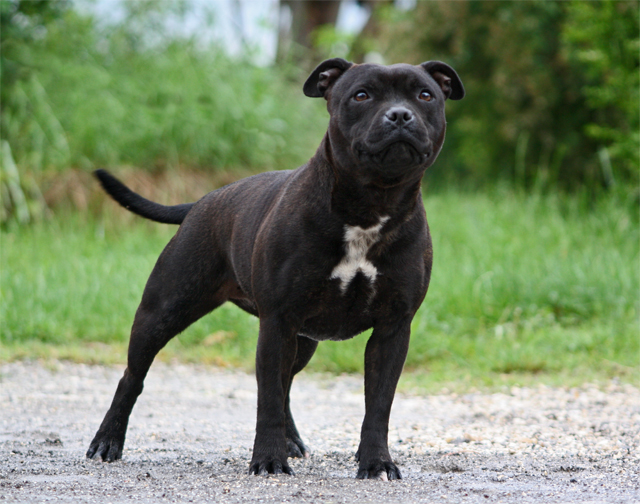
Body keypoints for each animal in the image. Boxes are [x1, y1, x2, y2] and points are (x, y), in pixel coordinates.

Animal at [87, 57, 462, 478]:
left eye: (425, 95)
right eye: (361, 95)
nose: (399, 114)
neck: (371, 205)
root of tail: (203, 201)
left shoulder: (392, 329)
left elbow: (378, 405)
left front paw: (377, 462)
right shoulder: (278, 321)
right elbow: (266, 399)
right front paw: (267, 459)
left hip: (301, 341)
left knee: (286, 386)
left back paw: (291, 440)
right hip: (163, 312)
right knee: (132, 377)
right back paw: (107, 441)